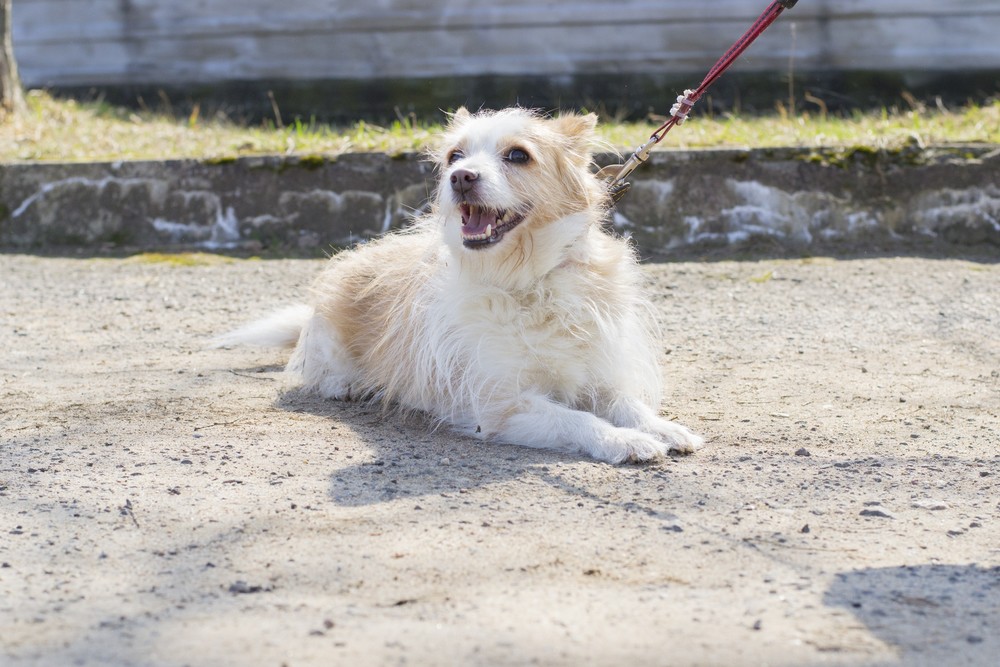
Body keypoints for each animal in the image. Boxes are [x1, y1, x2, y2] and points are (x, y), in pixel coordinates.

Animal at [219, 109, 704, 464]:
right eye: (455, 156)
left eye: (518, 156)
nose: (461, 177)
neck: (527, 278)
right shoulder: (502, 407)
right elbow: (579, 421)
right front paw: (624, 441)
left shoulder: (598, 378)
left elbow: (627, 404)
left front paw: (661, 427)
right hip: (328, 338)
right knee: (318, 368)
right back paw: (345, 382)